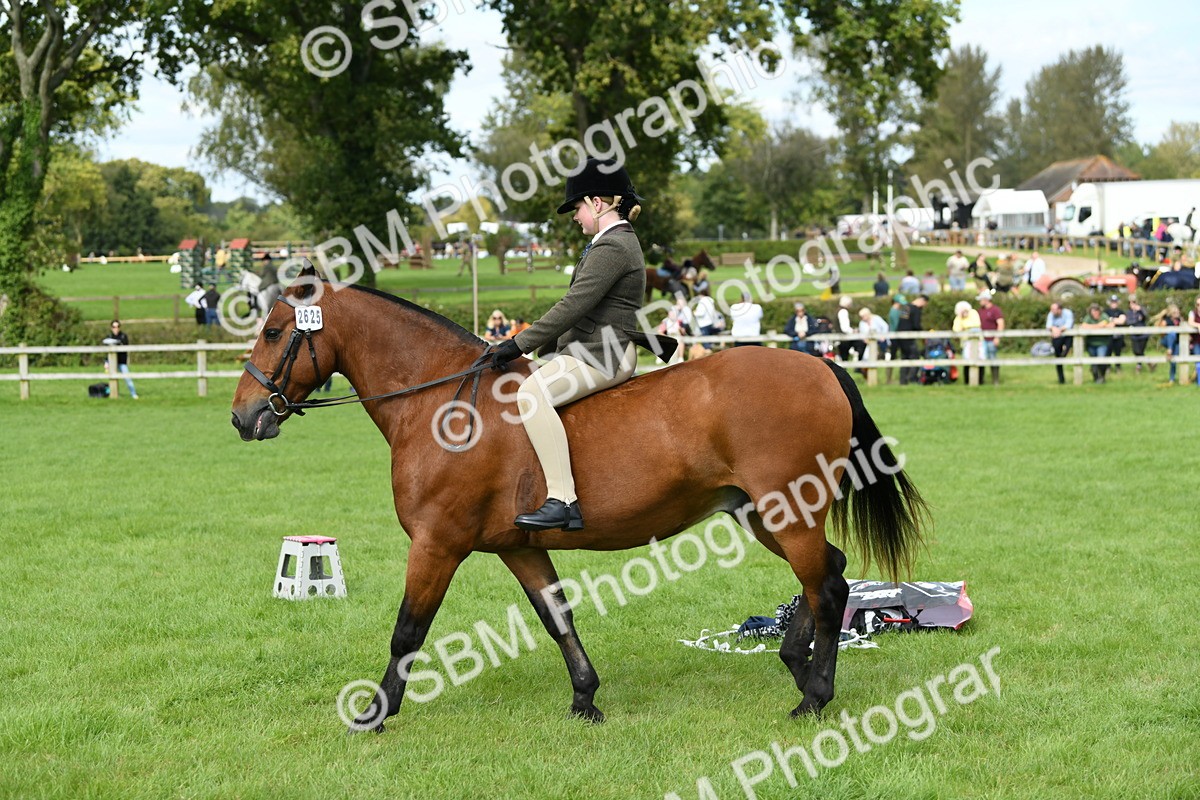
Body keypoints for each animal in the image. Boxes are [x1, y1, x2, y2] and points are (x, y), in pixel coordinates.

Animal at [230, 266, 927, 731]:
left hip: (788, 511)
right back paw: (795, 664)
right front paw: (585, 699)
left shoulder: (437, 543)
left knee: (826, 585)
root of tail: (817, 365)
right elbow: (557, 617)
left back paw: (814, 695)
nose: (243, 418)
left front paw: (375, 713)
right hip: (762, 515)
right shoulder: (519, 547)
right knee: (827, 574)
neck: (443, 404)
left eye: (274, 332)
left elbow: (407, 631)